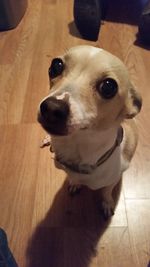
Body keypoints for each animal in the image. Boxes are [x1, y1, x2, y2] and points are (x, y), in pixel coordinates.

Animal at [37, 45, 142, 220]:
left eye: (108, 86)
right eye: (56, 65)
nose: (51, 108)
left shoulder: (112, 180)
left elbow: (106, 192)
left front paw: (107, 203)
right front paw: (75, 184)